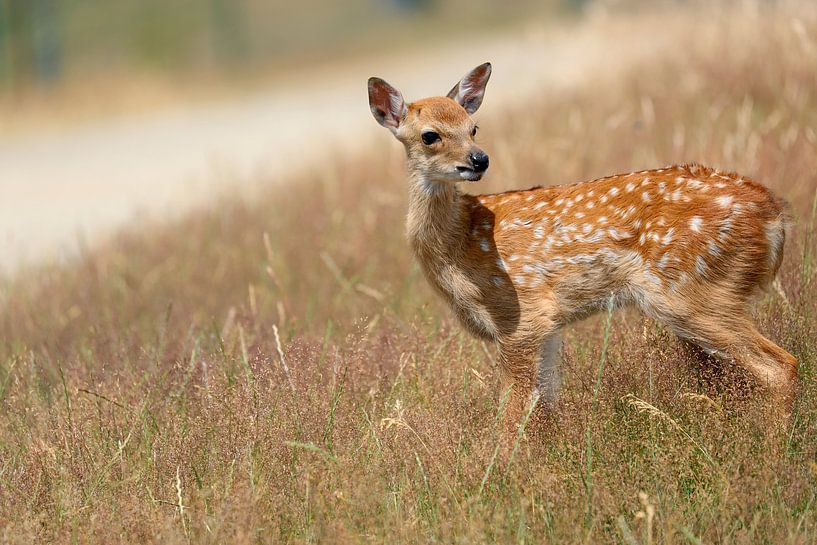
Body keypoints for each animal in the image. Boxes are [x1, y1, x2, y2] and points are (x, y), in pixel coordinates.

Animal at [367, 62, 797, 436]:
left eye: (473, 128)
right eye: (430, 135)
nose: (479, 159)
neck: (459, 245)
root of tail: (774, 215)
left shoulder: (521, 314)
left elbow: (512, 417)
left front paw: (501, 474)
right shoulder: (548, 325)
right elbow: (545, 406)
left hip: (692, 293)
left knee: (781, 365)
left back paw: (774, 447)